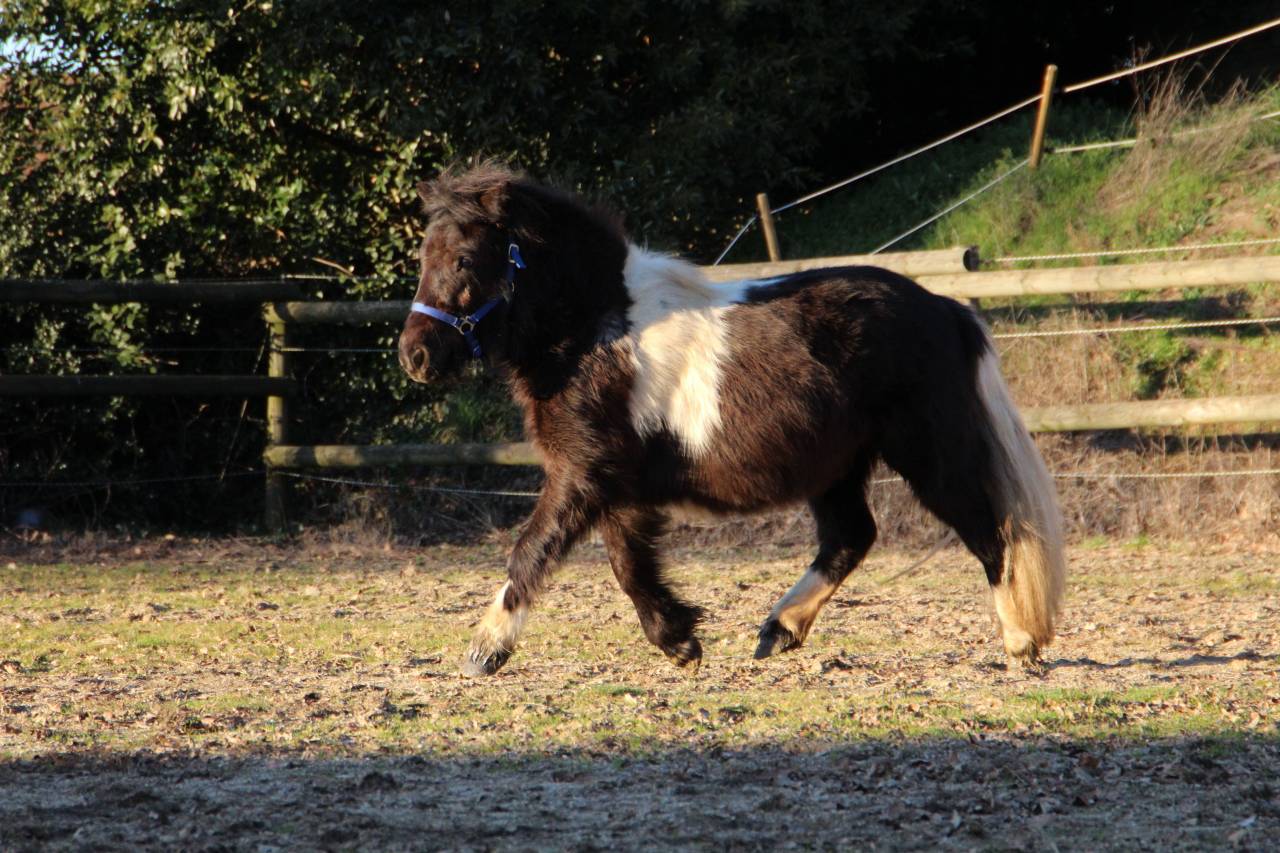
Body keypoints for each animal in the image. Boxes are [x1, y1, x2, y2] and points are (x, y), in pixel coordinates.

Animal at [398, 163, 1066, 677]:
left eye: (463, 259)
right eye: (423, 256)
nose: (415, 356)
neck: (595, 329)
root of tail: (947, 309)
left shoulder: (582, 475)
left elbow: (533, 551)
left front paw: (485, 649)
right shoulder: (615, 486)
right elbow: (628, 565)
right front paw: (679, 640)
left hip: (927, 453)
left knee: (991, 530)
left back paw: (1020, 643)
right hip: (838, 465)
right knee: (851, 538)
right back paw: (778, 630)